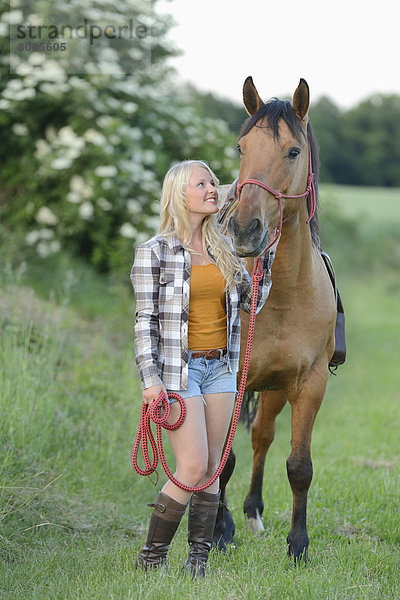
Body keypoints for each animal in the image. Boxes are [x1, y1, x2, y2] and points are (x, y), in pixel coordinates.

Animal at [214, 77, 340, 560]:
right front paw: (218, 531)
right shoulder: (231, 379)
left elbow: (299, 466)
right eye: (242, 147)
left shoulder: (309, 384)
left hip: (272, 389)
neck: (284, 292)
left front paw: (298, 543)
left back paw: (253, 512)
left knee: (263, 437)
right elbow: (223, 460)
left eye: (292, 151)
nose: (244, 229)